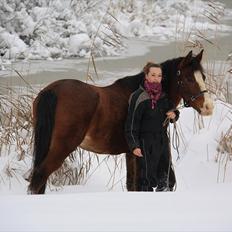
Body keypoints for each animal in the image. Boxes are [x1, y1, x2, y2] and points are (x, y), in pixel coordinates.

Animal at [29, 49, 214, 194]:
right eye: (189, 78)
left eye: (203, 77)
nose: (208, 107)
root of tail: (52, 91)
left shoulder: (131, 154)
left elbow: (132, 185)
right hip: (62, 147)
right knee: (39, 177)